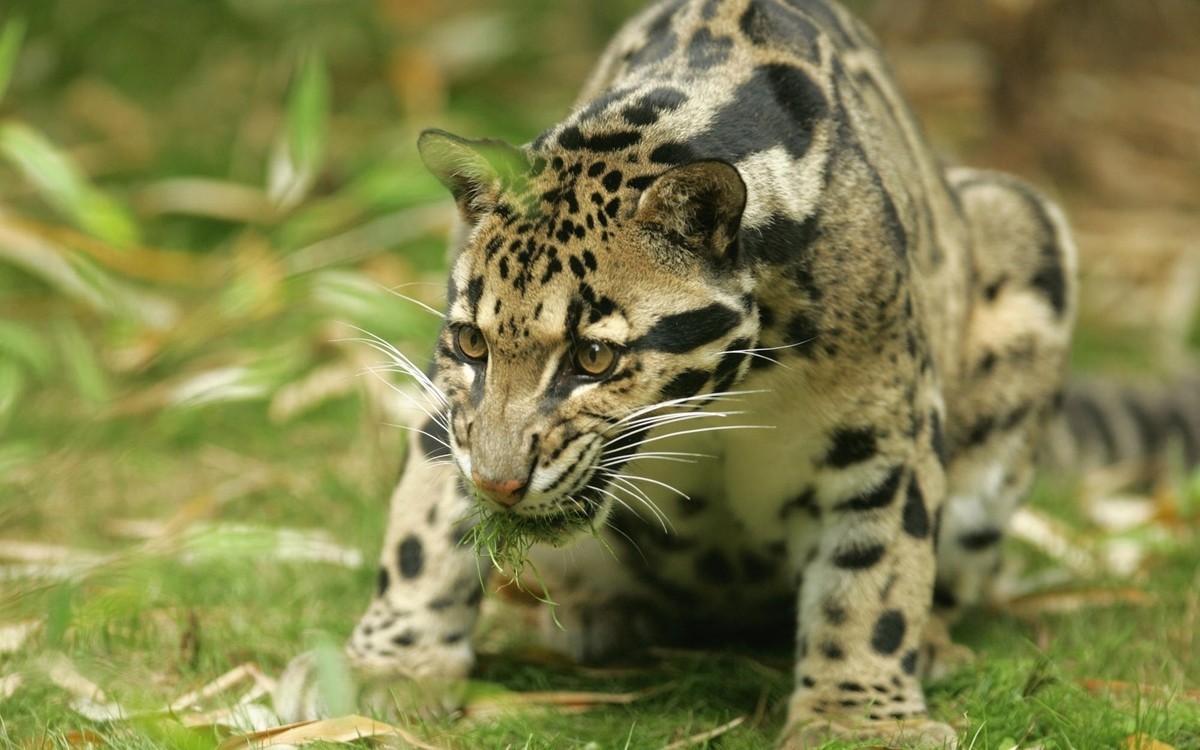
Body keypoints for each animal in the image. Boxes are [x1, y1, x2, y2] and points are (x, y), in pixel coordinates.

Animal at [274, 0, 1200, 747]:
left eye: (594, 357)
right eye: (471, 343)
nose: (500, 486)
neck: (729, 391)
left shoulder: (886, 431)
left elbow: (874, 575)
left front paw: (859, 718)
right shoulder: (453, 413)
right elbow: (423, 528)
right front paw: (385, 667)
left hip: (1021, 229)